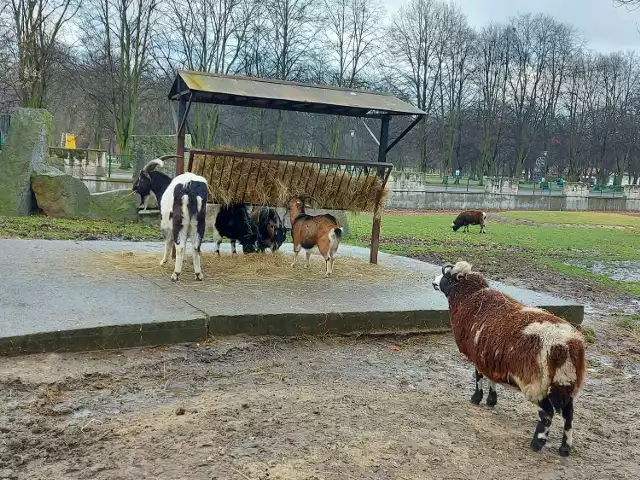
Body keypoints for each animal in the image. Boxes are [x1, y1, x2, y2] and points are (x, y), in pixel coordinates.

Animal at [432, 260, 588, 456]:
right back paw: (565, 448)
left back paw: (537, 443)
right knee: (569, 415)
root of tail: (567, 345)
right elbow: (491, 378)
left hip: (537, 383)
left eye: (446, 276)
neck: (469, 297)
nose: (434, 281)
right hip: (567, 382)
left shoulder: (477, 354)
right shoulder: (488, 356)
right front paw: (491, 400)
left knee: (547, 414)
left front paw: (476, 398)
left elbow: (478, 377)